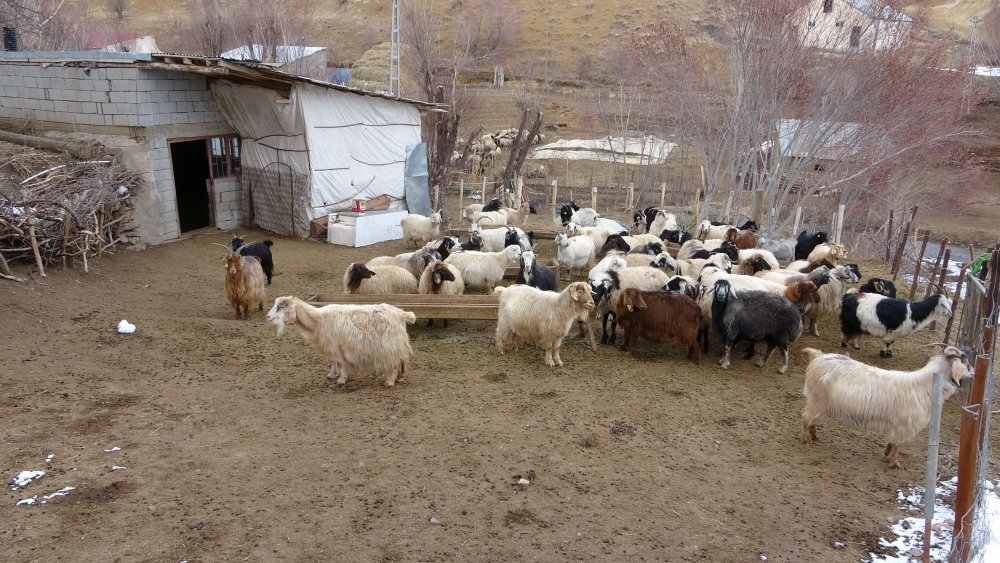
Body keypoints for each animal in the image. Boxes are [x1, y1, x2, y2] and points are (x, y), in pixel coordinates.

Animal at [265, 296, 416, 386]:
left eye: (281, 306)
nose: (267, 317)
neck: (317, 321)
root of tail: (401, 313)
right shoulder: (330, 346)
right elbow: (332, 361)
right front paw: (332, 374)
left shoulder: (336, 346)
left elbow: (341, 363)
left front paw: (341, 379)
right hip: (397, 344)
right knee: (402, 360)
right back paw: (400, 377)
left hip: (389, 346)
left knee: (395, 363)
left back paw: (390, 381)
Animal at [800, 345, 971, 469]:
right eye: (965, 362)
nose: (973, 372)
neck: (925, 386)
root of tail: (818, 356)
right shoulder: (904, 426)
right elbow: (898, 445)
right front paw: (894, 463)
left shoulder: (898, 425)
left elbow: (892, 442)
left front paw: (887, 454)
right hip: (817, 399)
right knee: (807, 418)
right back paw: (807, 439)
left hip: (820, 402)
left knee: (812, 419)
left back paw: (814, 437)